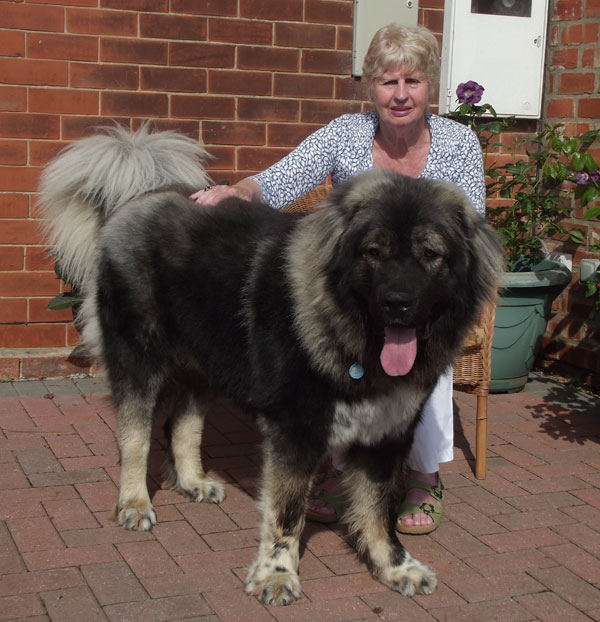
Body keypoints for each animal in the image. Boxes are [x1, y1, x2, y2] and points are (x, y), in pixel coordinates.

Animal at [38, 125, 502, 608]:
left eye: (431, 254)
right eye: (373, 252)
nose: (398, 303)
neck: (352, 337)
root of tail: (138, 200)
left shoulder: (386, 432)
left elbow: (379, 509)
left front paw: (394, 566)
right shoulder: (294, 430)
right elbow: (287, 513)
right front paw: (277, 574)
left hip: (205, 362)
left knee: (182, 427)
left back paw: (194, 481)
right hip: (139, 359)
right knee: (135, 437)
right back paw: (134, 504)